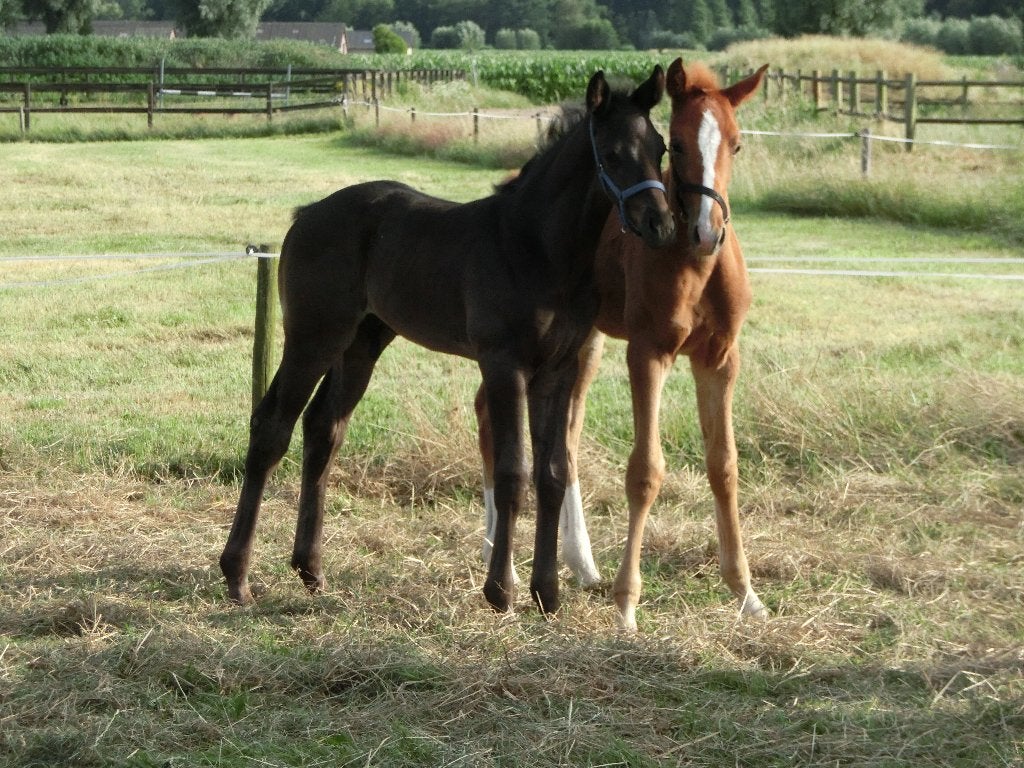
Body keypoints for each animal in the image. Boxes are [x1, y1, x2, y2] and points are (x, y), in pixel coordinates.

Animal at [219, 67, 676, 617]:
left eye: (661, 147)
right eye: (611, 152)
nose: (660, 224)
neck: (538, 249)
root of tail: (306, 214)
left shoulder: (558, 369)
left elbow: (553, 474)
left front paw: (548, 594)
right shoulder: (503, 364)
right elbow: (512, 473)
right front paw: (501, 592)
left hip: (361, 343)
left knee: (324, 428)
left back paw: (312, 570)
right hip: (314, 335)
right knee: (272, 426)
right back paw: (237, 576)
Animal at [476, 59, 769, 631]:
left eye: (737, 144)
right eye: (677, 144)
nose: (706, 231)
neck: (695, 267)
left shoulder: (721, 358)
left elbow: (724, 465)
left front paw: (746, 592)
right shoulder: (648, 352)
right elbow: (645, 470)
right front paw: (627, 606)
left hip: (582, 343)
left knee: (564, 437)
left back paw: (581, 566)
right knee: (490, 415)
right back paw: (506, 561)